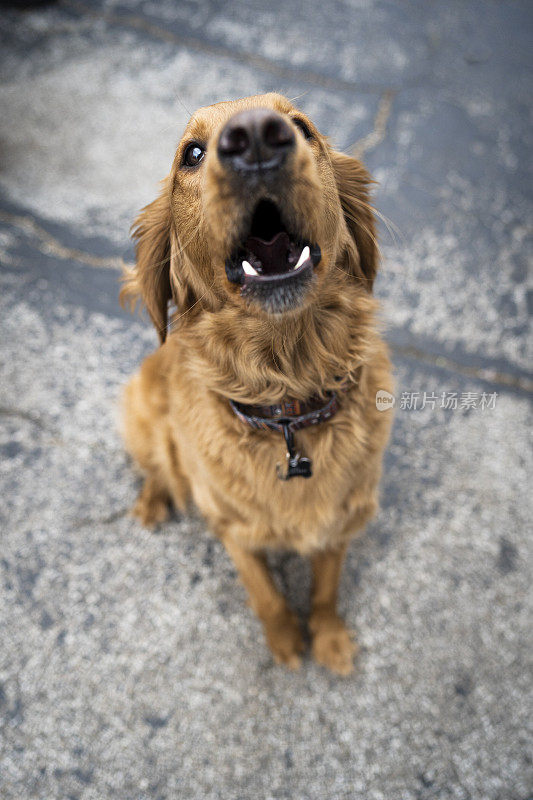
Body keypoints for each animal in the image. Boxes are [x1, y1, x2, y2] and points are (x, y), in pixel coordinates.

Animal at [121, 92, 394, 676]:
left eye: (301, 126)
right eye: (192, 153)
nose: (257, 138)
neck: (288, 403)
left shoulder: (343, 517)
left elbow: (325, 589)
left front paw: (329, 639)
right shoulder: (232, 529)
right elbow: (266, 595)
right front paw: (287, 641)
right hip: (140, 404)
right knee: (158, 464)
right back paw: (154, 500)